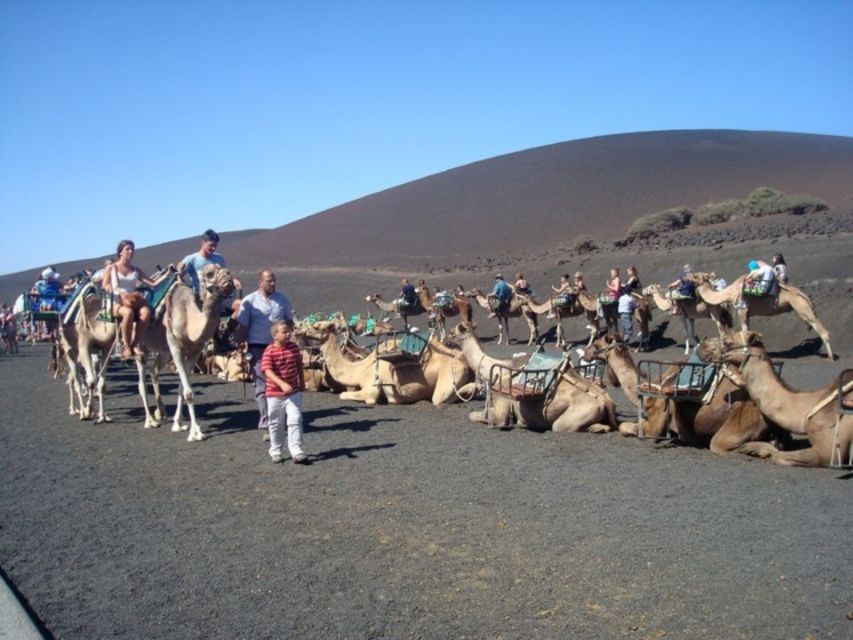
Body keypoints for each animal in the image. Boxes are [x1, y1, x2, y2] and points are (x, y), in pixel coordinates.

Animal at [136, 262, 236, 440]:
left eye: (225, 268)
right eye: (209, 273)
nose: (228, 279)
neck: (189, 321)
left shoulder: (194, 351)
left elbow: (182, 388)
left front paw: (178, 423)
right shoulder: (176, 348)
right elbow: (188, 392)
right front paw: (195, 432)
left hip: (163, 351)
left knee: (154, 371)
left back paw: (161, 413)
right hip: (141, 346)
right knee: (141, 383)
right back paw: (150, 420)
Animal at [452, 322, 612, 432]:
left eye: (453, 332)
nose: (447, 338)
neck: (497, 369)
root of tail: (606, 401)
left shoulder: (501, 410)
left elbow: (475, 415)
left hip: (572, 418)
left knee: (560, 426)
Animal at [692, 272, 832, 358]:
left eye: (695, 276)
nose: (687, 278)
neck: (729, 292)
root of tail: (803, 295)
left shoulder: (742, 309)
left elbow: (744, 330)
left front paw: (744, 353)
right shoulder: (747, 313)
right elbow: (748, 331)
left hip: (800, 305)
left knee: (820, 328)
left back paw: (830, 358)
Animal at [700, 332, 852, 468]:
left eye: (728, 342)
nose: (703, 345)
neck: (807, 409)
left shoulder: (829, 451)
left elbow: (778, 456)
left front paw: (753, 448)